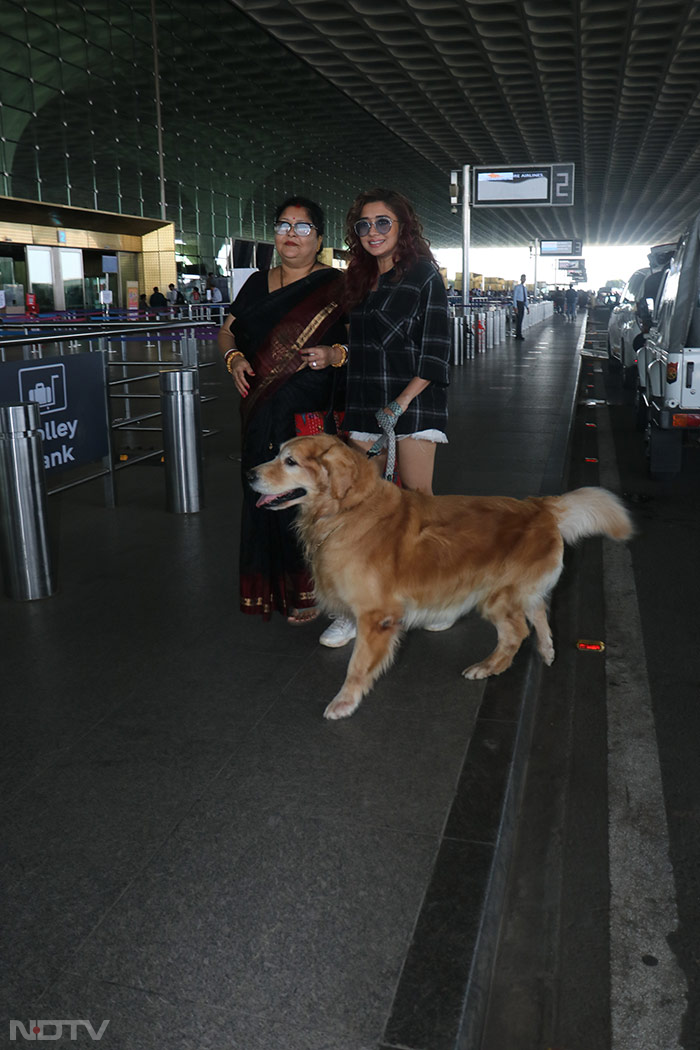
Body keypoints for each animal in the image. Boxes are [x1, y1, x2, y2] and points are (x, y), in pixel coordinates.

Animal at [247, 430, 633, 718]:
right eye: (277, 453)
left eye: (290, 461)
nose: (249, 474)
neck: (347, 510)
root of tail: (541, 507)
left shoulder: (377, 616)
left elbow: (357, 665)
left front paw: (344, 702)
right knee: (538, 609)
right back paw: (548, 649)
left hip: (496, 595)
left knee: (516, 632)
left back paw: (487, 667)